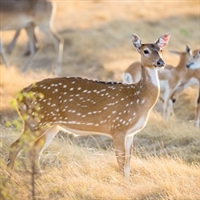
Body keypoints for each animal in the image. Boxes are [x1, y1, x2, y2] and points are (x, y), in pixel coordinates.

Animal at [6, 33, 170, 180]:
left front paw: (128, 182)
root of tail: (19, 96)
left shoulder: (131, 132)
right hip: (36, 121)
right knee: (15, 146)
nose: (160, 62)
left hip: (50, 125)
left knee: (34, 150)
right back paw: (10, 178)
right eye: (146, 51)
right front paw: (122, 182)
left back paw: (38, 176)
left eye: (160, 50)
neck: (139, 99)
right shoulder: (118, 127)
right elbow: (121, 161)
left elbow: (129, 162)